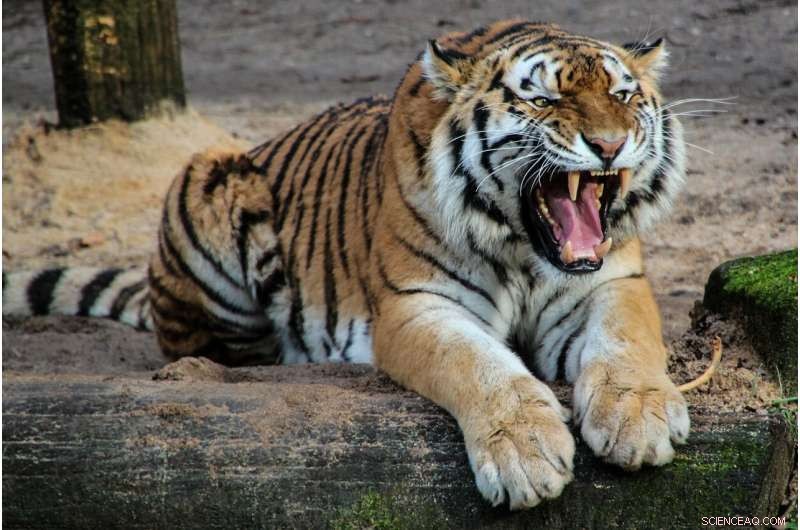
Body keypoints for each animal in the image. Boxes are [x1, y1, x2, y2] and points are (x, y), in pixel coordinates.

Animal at [3, 20, 689, 509]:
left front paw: (639, 418)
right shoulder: (416, 305)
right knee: (209, 349)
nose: (609, 145)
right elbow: (479, 365)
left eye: (622, 94)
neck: (524, 248)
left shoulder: (612, 282)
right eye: (544, 99)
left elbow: (627, 342)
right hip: (209, 177)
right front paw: (525, 453)